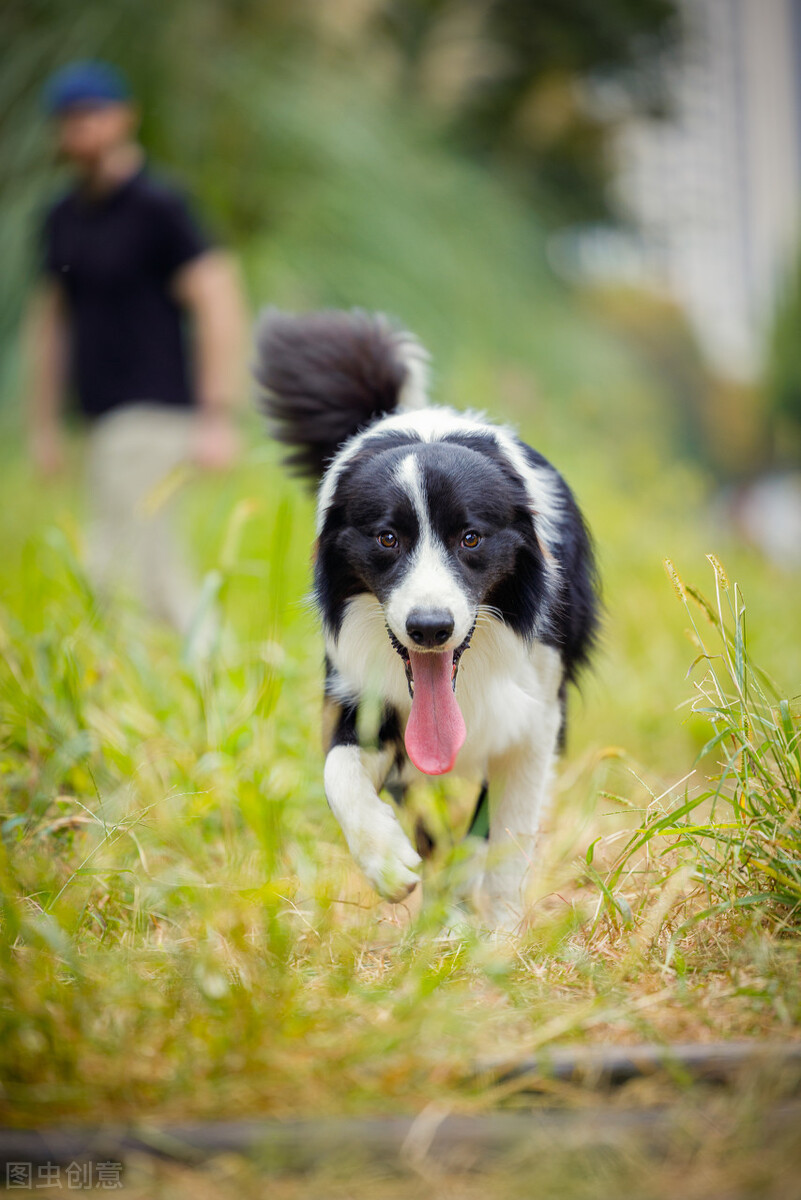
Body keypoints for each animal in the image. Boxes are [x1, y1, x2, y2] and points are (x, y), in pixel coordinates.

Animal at [253, 307, 597, 926]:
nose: (430, 629)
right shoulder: (361, 691)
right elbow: (338, 771)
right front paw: (388, 865)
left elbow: (507, 836)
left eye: (471, 539)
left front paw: (501, 935)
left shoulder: (537, 714)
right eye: (387, 538)